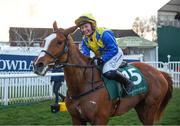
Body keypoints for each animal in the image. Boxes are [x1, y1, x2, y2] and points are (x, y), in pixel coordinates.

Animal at [33, 21, 172, 124]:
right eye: (44, 41)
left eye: (59, 42)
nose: (38, 65)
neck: (82, 85)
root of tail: (160, 73)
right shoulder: (77, 119)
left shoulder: (100, 119)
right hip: (140, 107)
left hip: (149, 109)